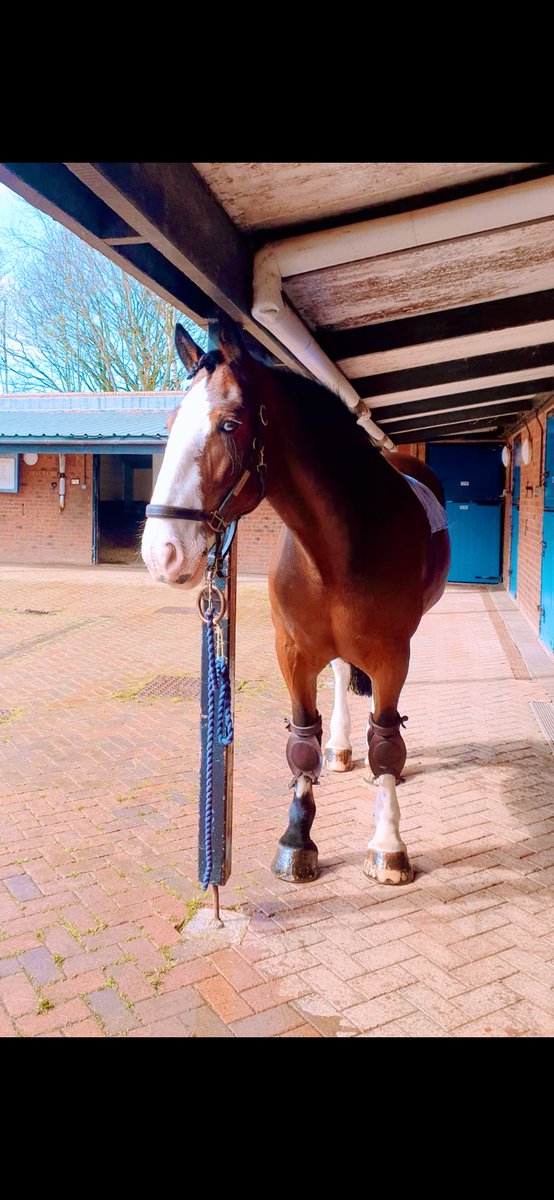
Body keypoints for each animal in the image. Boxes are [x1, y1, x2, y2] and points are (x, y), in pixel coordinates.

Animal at [141, 318, 450, 886]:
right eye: (172, 422)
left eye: (229, 424)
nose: (161, 552)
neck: (337, 548)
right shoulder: (294, 653)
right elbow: (303, 743)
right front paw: (296, 839)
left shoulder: (392, 656)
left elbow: (386, 744)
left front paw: (388, 845)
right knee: (341, 678)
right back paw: (343, 749)